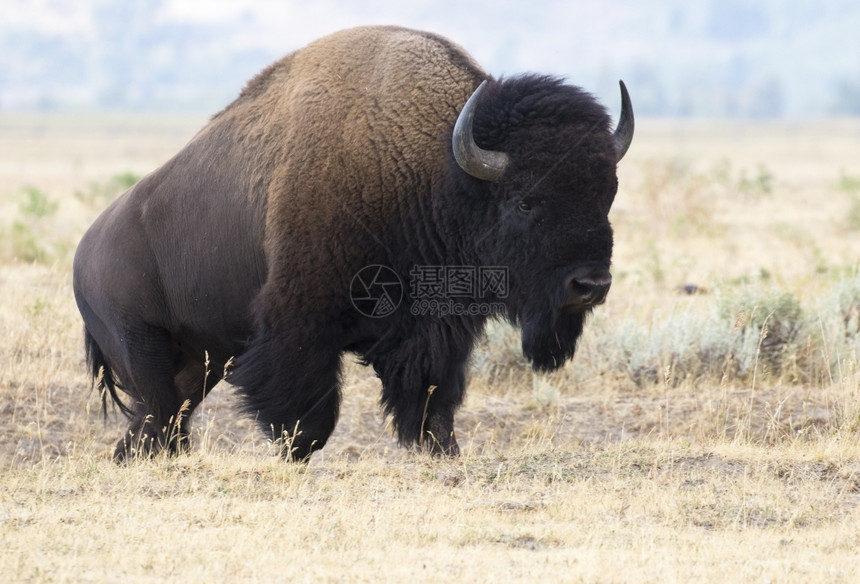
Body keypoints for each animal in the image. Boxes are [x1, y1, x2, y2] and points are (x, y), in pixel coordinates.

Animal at [74, 25, 636, 460]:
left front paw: (443, 451)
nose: (590, 285)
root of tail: (82, 256)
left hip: (200, 362)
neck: (436, 171)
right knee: (159, 417)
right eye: (524, 201)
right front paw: (295, 455)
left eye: (607, 193)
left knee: (157, 426)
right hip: (143, 347)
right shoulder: (300, 325)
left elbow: (434, 402)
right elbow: (307, 414)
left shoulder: (438, 332)